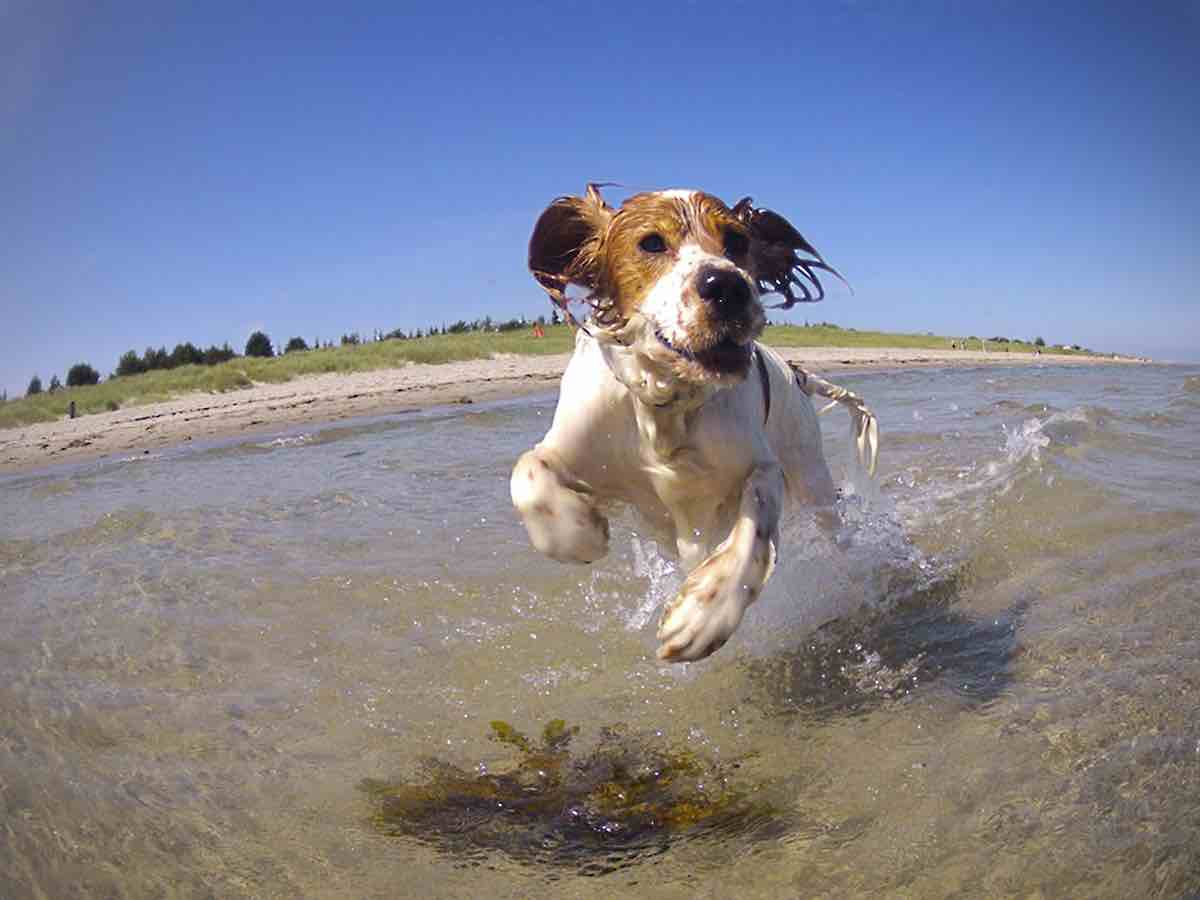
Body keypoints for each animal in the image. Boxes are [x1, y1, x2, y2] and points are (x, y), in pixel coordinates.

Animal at [511, 187, 878, 662]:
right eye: (651, 243)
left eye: (738, 241)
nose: (727, 286)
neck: (668, 406)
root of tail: (798, 373)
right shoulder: (576, 446)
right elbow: (528, 472)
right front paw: (580, 535)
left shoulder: (760, 466)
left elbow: (753, 527)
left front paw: (705, 615)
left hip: (812, 477)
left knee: (836, 531)